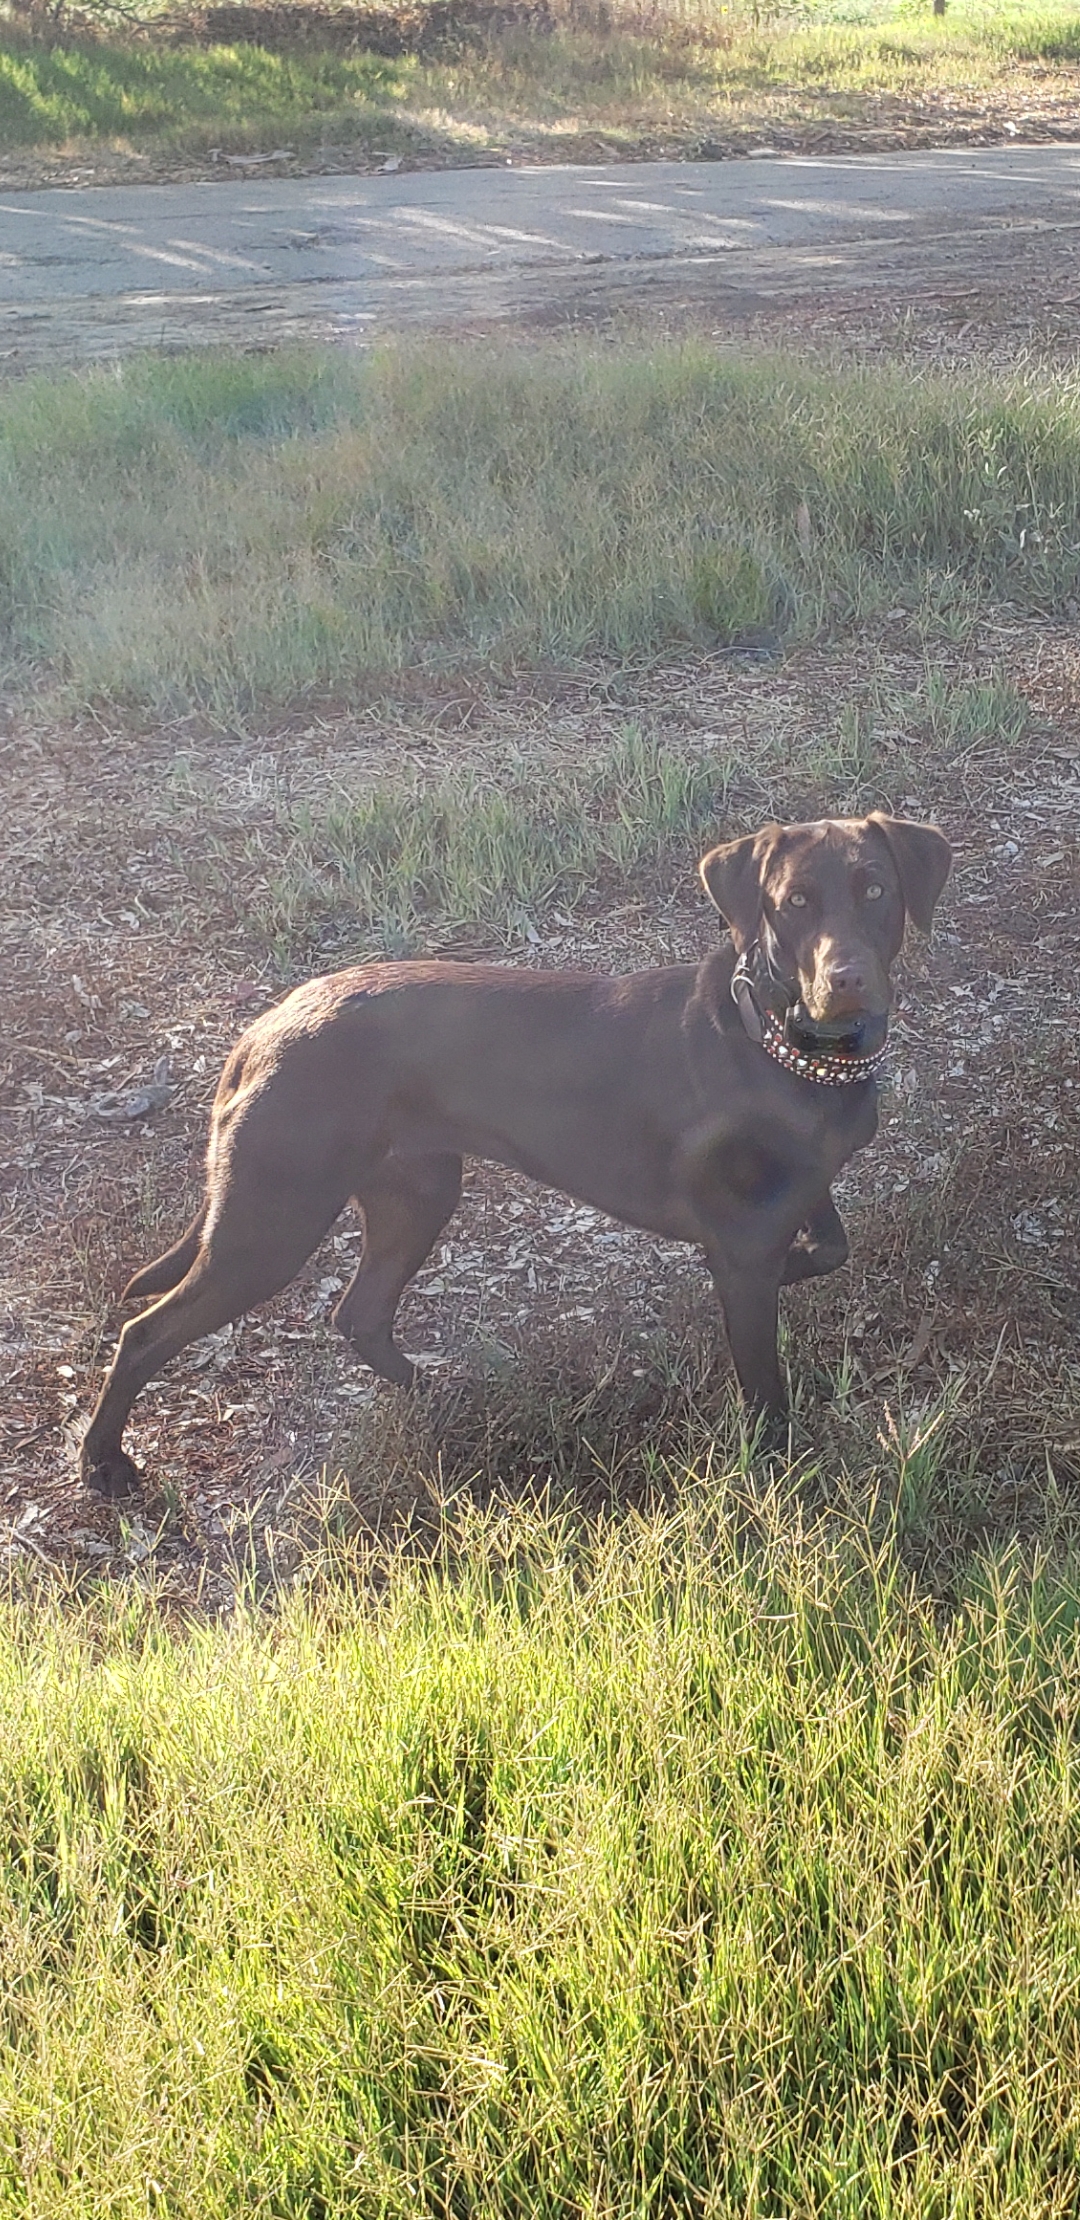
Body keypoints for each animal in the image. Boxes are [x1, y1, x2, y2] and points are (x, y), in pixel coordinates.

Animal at [80, 808, 951, 1500]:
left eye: (876, 889)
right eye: (794, 902)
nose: (846, 983)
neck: (785, 1048)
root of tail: (262, 1028)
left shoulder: (794, 1197)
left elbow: (830, 1244)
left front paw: (799, 1264)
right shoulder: (741, 1247)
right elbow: (765, 1385)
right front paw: (779, 1467)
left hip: (416, 1192)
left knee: (359, 1313)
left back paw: (432, 1393)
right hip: (272, 1222)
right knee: (147, 1333)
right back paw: (104, 1464)